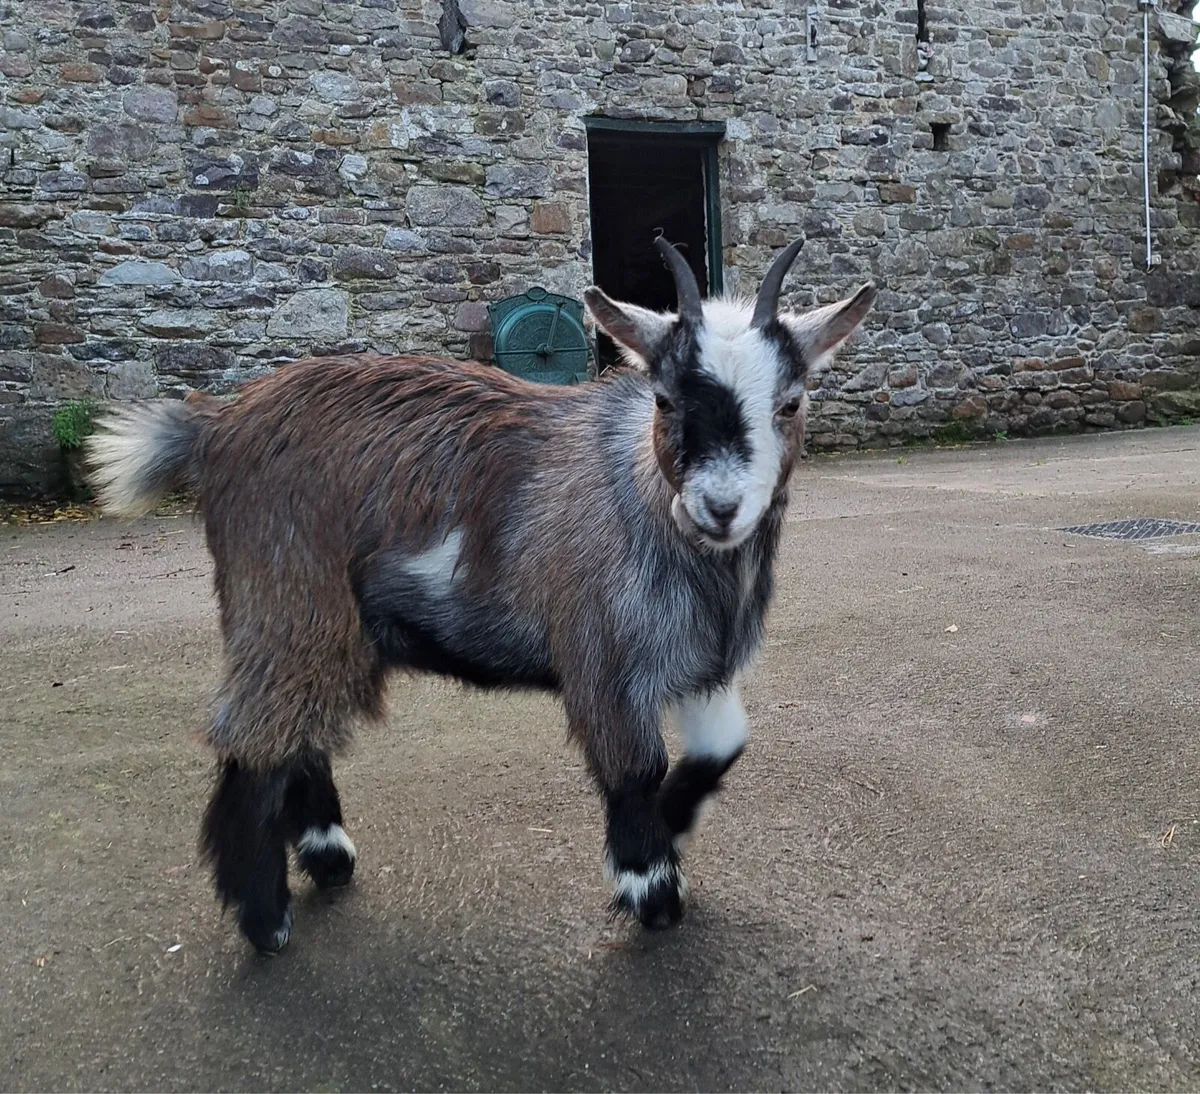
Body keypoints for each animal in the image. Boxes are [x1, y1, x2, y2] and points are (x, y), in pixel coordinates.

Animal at [87, 239, 875, 953]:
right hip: (286, 598)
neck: (645, 502)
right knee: (255, 739)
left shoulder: (698, 662)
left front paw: (673, 826)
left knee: (298, 732)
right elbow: (633, 768)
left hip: (329, 627)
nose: (719, 508)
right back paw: (264, 917)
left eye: (790, 403)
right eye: (663, 398)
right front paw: (650, 887)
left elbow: (724, 746)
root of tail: (216, 426)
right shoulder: (605, 659)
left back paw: (327, 856)